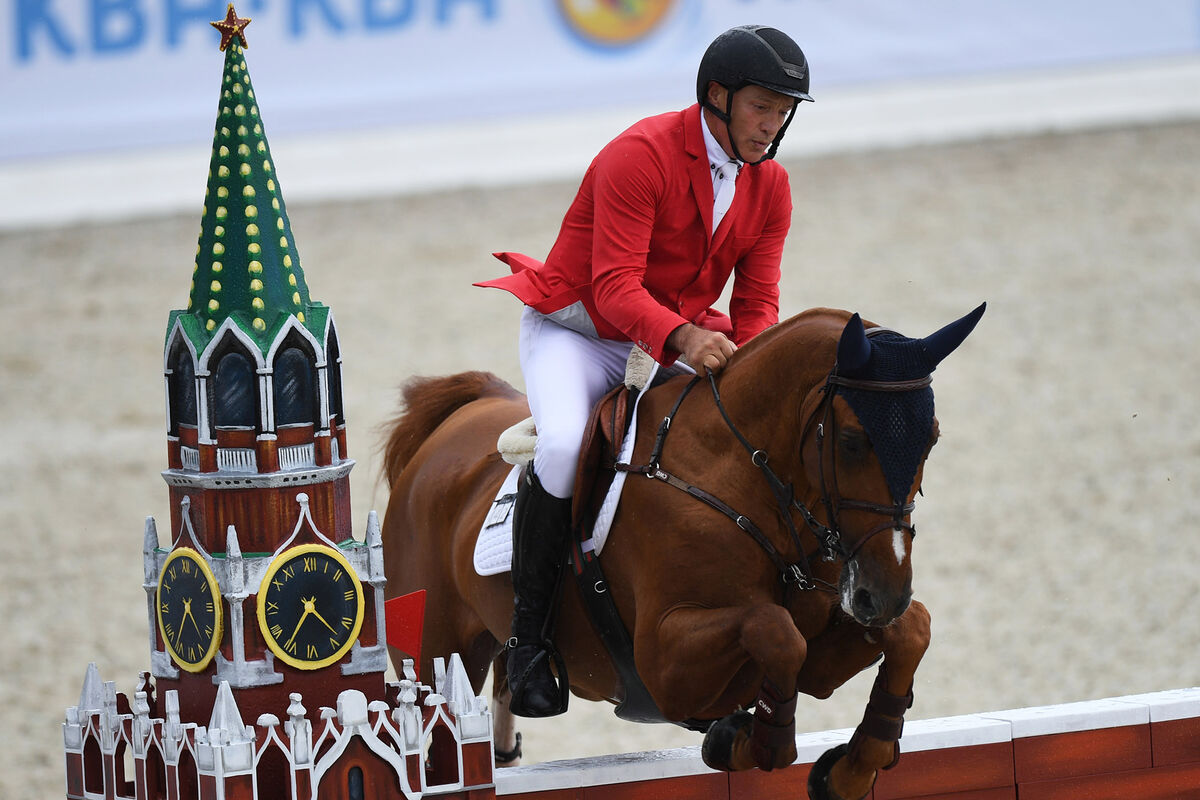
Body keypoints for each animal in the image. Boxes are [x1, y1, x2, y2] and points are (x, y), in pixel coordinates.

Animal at [381, 303, 984, 796]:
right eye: (853, 441)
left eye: (932, 437)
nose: (884, 595)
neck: (747, 482)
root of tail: (451, 426)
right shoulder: (663, 662)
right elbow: (774, 630)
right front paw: (750, 740)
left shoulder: (825, 645)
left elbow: (911, 630)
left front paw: (855, 767)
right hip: (435, 646)